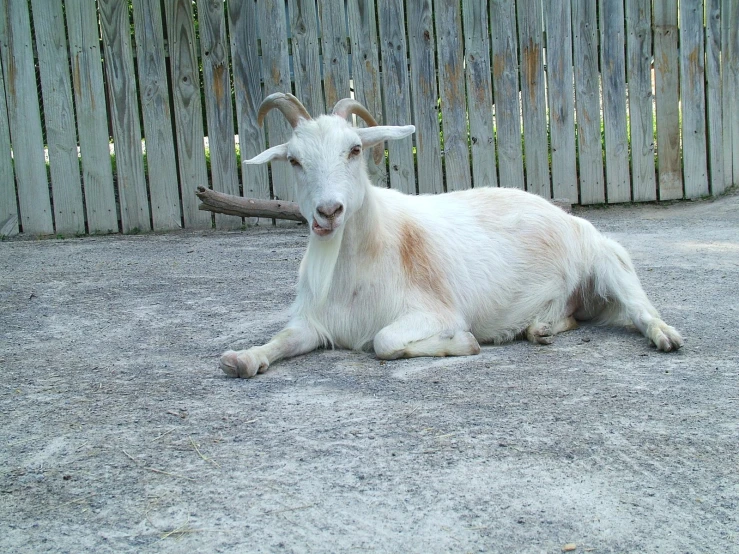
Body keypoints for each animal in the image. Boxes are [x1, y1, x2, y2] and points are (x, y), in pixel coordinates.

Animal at [218, 92, 684, 378]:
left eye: (354, 149)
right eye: (294, 160)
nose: (328, 212)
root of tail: (566, 217)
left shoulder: (434, 311)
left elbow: (384, 342)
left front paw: (464, 343)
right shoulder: (315, 323)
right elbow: (282, 339)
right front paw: (243, 359)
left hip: (609, 261)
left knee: (640, 308)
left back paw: (666, 337)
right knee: (571, 317)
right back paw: (537, 329)